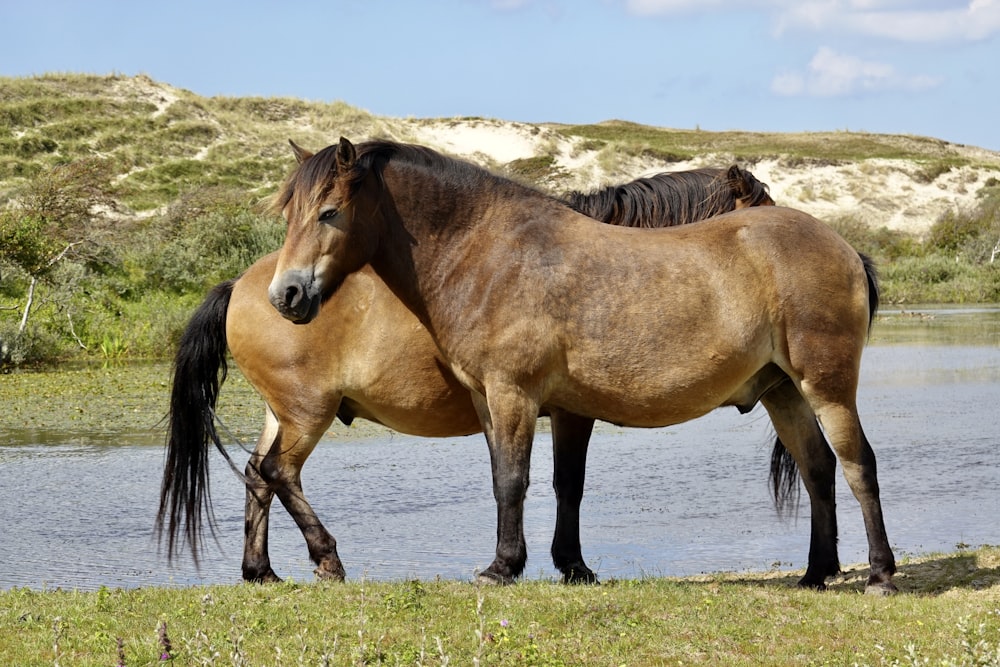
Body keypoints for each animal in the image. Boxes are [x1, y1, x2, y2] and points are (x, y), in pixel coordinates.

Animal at [160, 159, 776, 580]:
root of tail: (246, 284)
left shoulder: (565, 410)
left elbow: (567, 484)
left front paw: (571, 565)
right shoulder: (556, 407)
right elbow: (545, 483)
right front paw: (548, 564)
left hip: (282, 412)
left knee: (256, 475)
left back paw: (260, 570)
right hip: (308, 411)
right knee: (278, 473)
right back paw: (326, 557)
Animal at [268, 140, 900, 596]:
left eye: (329, 212)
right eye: (290, 214)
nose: (287, 295)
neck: (488, 253)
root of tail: (844, 247)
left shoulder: (514, 395)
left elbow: (514, 481)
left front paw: (503, 568)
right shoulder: (492, 401)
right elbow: (525, 481)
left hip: (827, 387)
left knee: (857, 465)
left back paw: (879, 575)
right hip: (783, 392)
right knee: (818, 468)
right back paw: (815, 574)